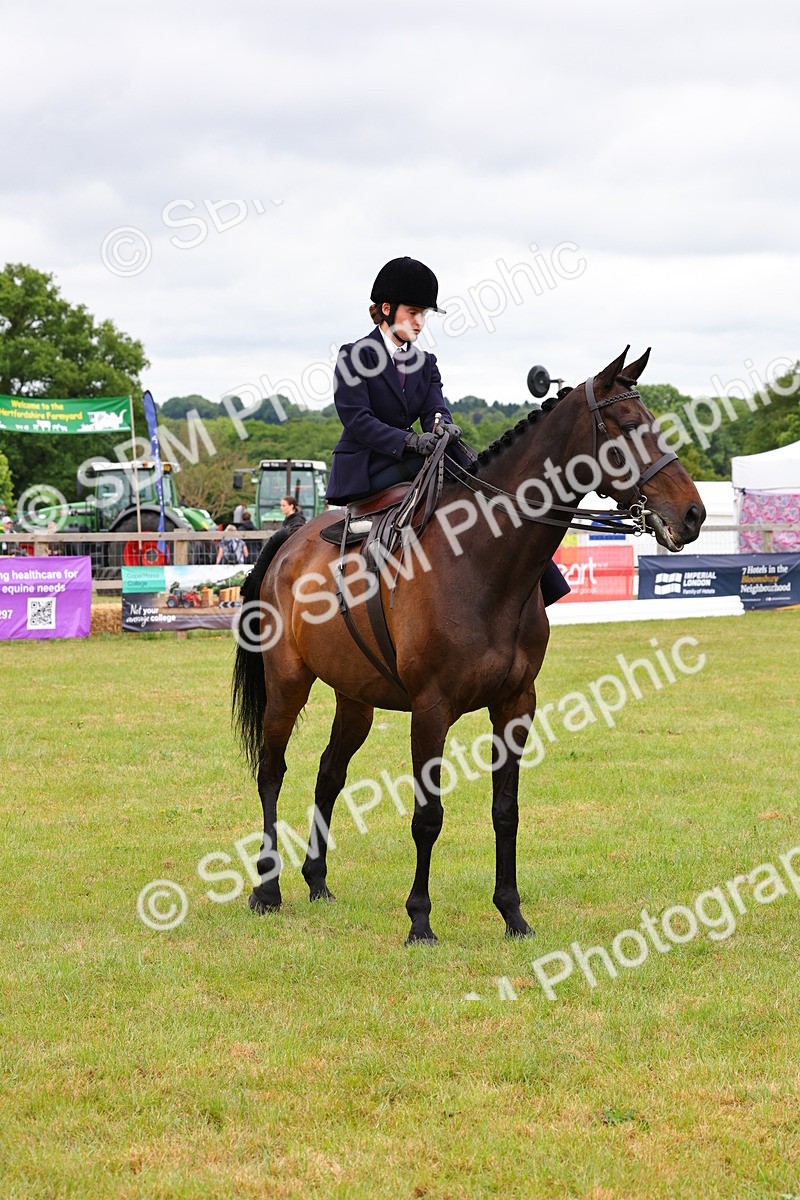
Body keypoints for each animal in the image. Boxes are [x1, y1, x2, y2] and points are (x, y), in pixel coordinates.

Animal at [232, 347, 706, 944]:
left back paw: (316, 880)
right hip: (288, 684)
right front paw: (419, 920)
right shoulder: (431, 710)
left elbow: (506, 810)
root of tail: (289, 540)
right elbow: (427, 816)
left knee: (328, 773)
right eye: (624, 426)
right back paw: (266, 890)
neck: (482, 562)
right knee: (272, 772)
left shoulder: (515, 705)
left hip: (355, 698)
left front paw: (512, 914)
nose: (693, 514)